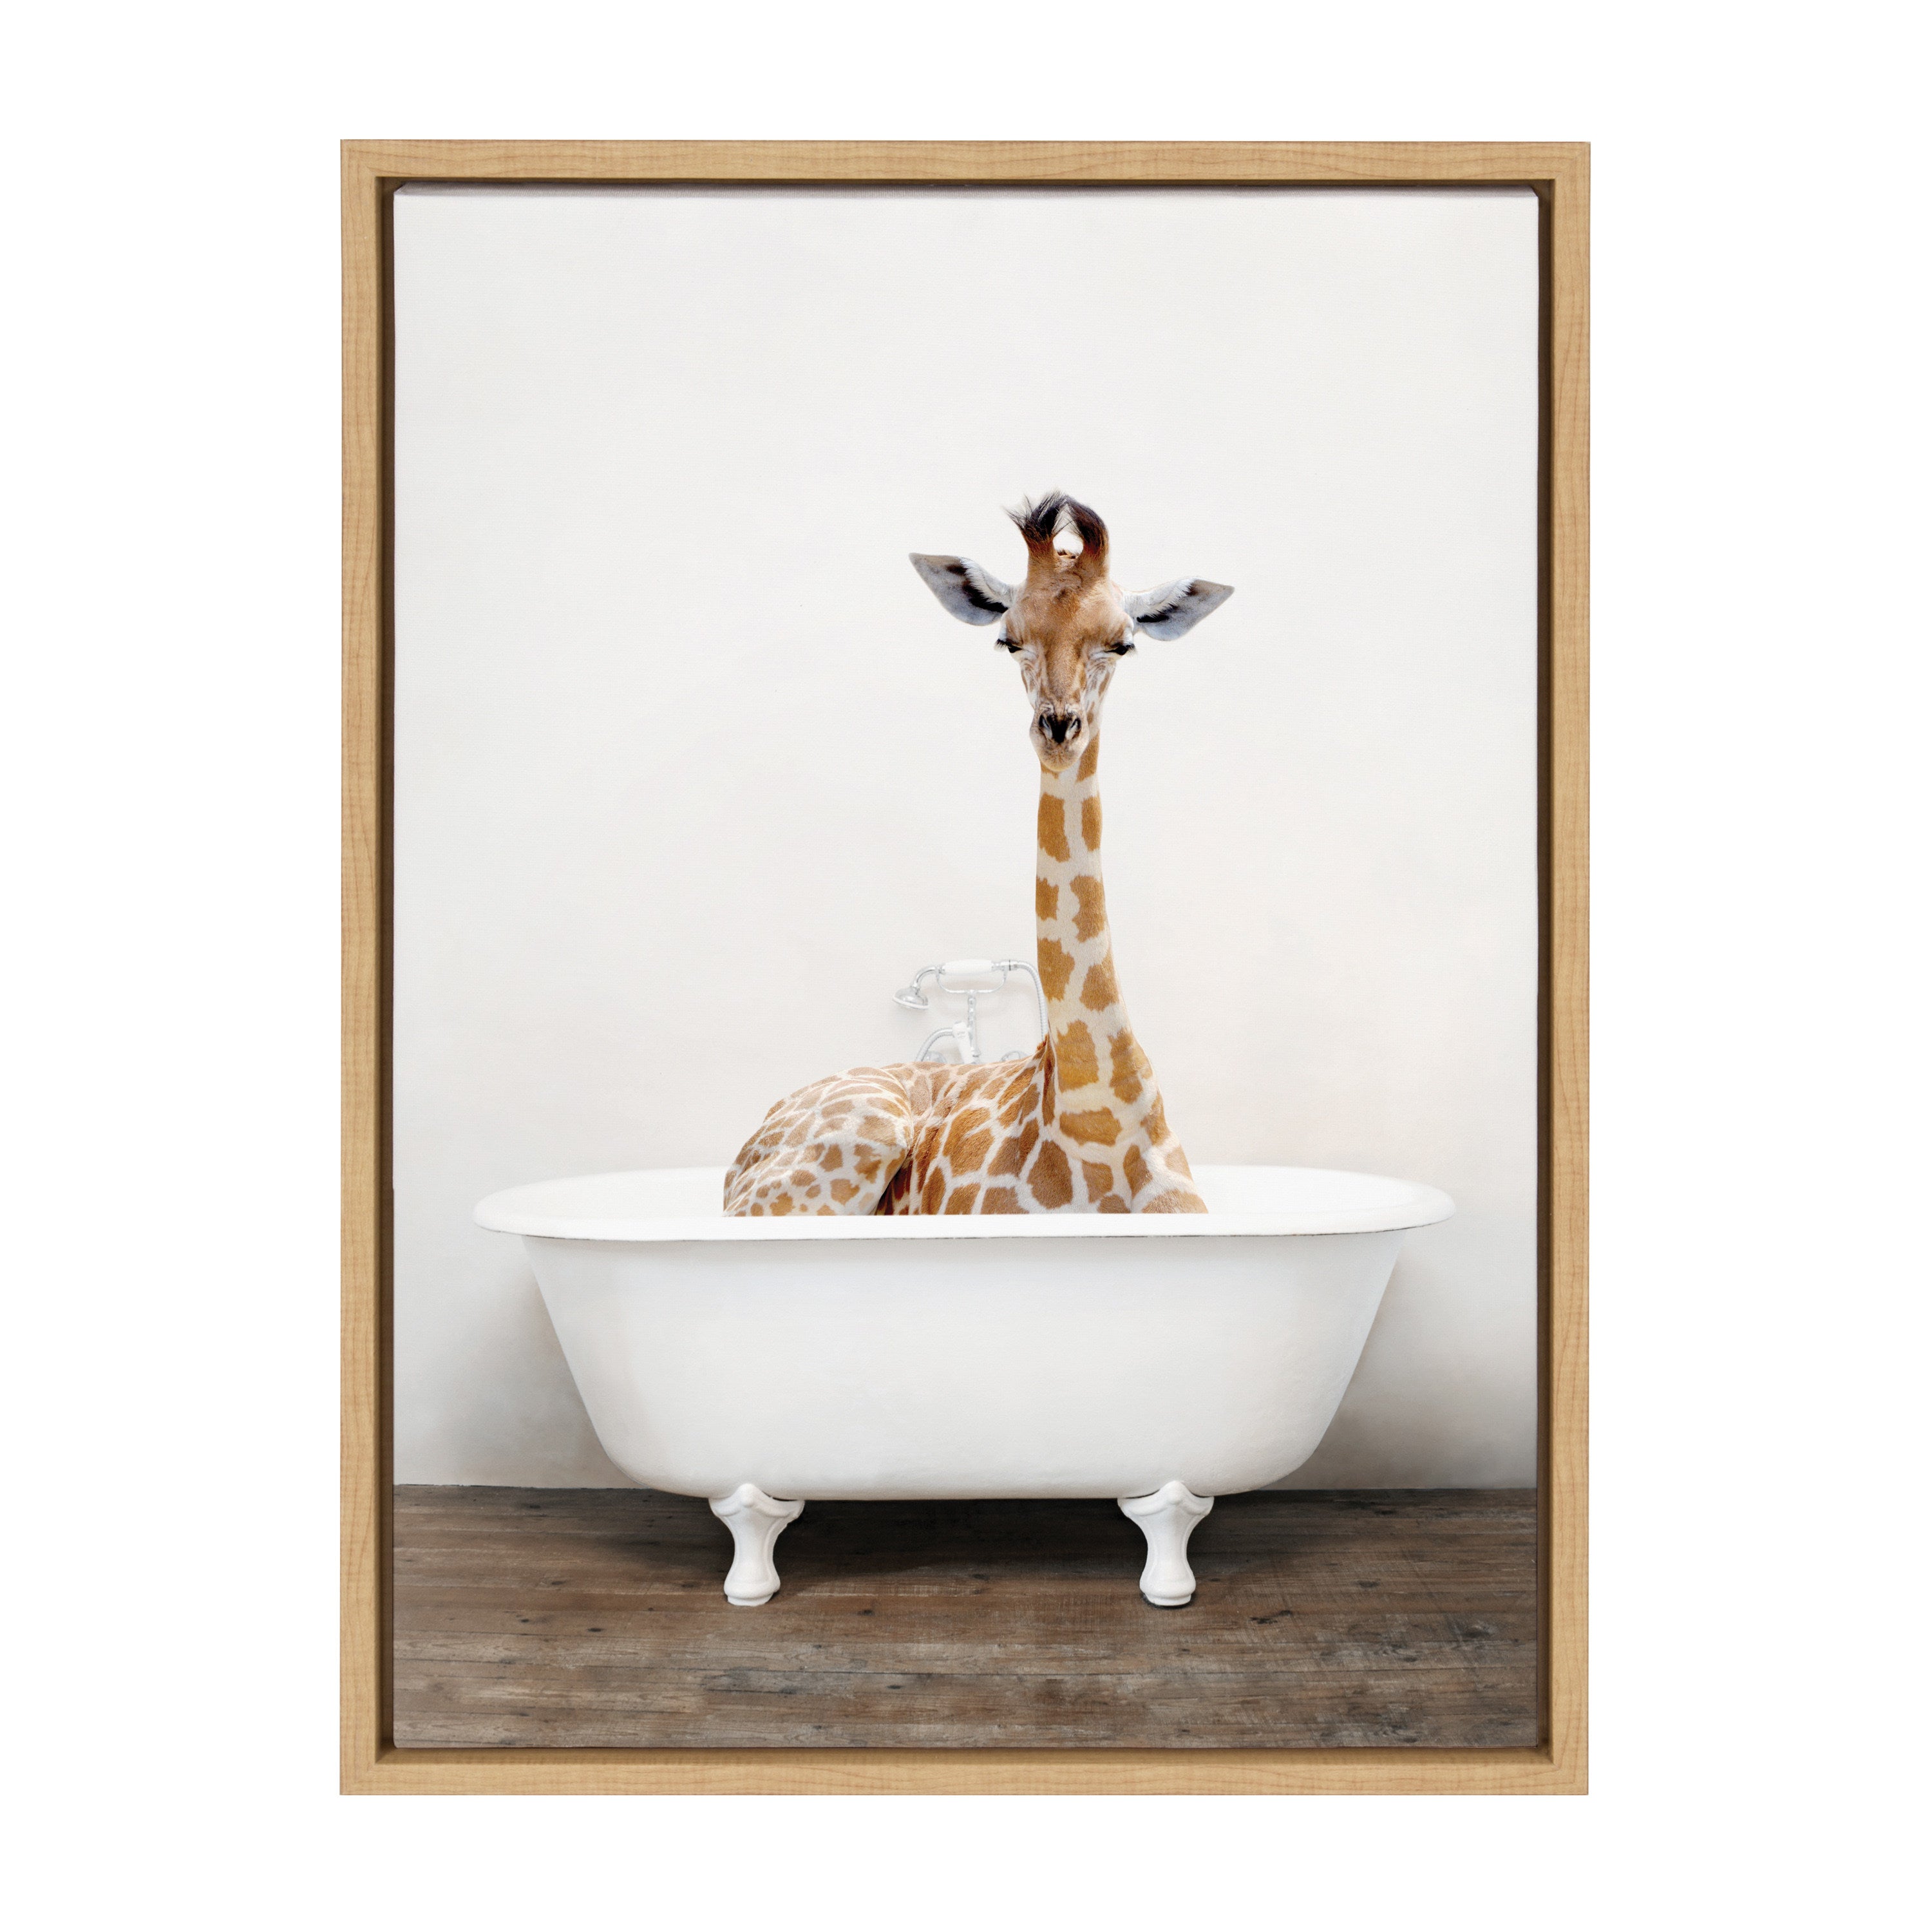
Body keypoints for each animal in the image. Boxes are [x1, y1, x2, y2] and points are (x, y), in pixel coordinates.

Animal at [722, 492, 1233, 1219]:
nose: (1059, 728)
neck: (1099, 1114)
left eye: (1124, 642)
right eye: (1008, 638)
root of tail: (739, 1155)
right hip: (853, 1139)